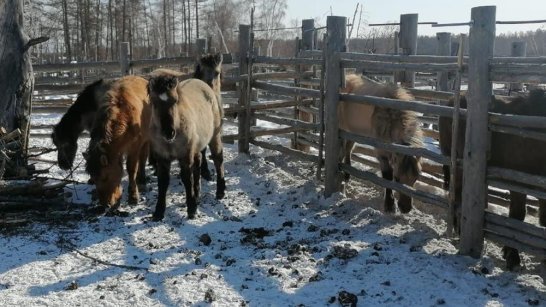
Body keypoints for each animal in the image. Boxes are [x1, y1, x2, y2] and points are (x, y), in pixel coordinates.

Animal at [83, 76, 151, 211]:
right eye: (94, 178)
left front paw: (133, 196)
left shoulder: (134, 146)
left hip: (146, 139)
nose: (105, 204)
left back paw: (142, 180)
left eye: (105, 177)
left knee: (143, 157)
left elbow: (131, 168)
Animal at [146, 76, 224, 221]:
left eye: (175, 101)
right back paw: (197, 194)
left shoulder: (185, 156)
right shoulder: (162, 158)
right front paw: (159, 212)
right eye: (154, 102)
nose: (169, 132)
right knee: (198, 164)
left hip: (214, 136)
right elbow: (163, 182)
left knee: (218, 159)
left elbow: (187, 179)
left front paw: (191, 209)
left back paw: (220, 191)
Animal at [338, 74, 422, 214]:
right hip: (342, 128)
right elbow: (387, 176)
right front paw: (389, 204)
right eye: (397, 178)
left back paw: (346, 174)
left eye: (416, 178)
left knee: (348, 149)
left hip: (353, 132)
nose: (405, 208)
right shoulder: (382, 152)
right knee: (343, 149)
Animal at [436, 91, 544, 270]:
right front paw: (512, 256)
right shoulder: (518, 183)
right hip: (456, 163)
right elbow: (517, 215)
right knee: (458, 196)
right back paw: (459, 230)